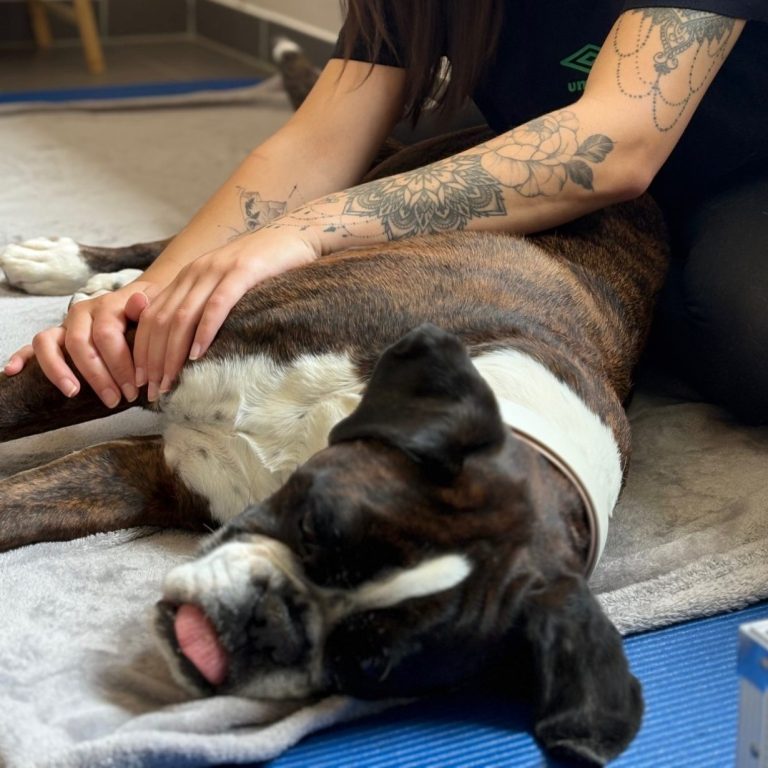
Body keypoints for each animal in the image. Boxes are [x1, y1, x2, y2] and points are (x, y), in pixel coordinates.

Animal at [0, 47, 668, 767]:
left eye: (366, 664)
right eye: (316, 528)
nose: (267, 626)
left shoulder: (145, 475)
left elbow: (28, 501)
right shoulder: (128, 358)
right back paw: (78, 268)